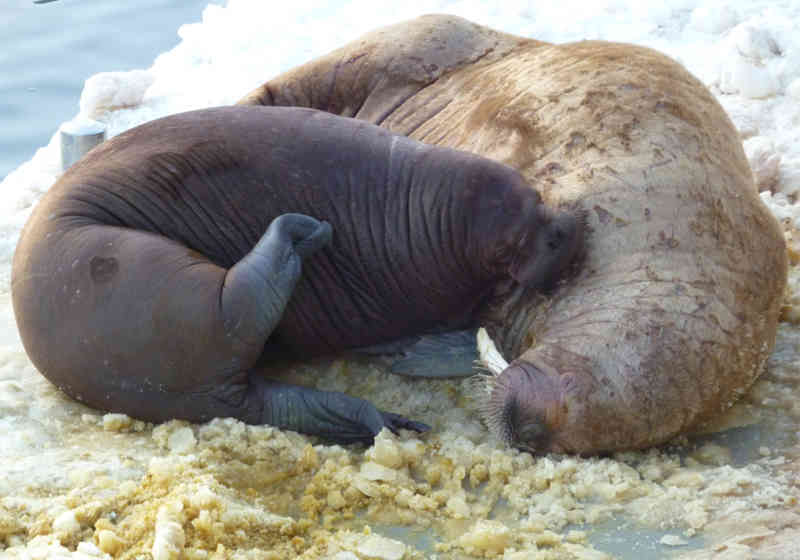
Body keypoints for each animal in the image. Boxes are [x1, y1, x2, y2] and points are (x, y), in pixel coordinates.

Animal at [10, 105, 580, 444]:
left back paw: (377, 418)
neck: (412, 215)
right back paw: (298, 231)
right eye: (526, 232)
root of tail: (209, 393)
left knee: (262, 389)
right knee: (233, 311)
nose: (566, 227)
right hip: (143, 283)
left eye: (539, 201)